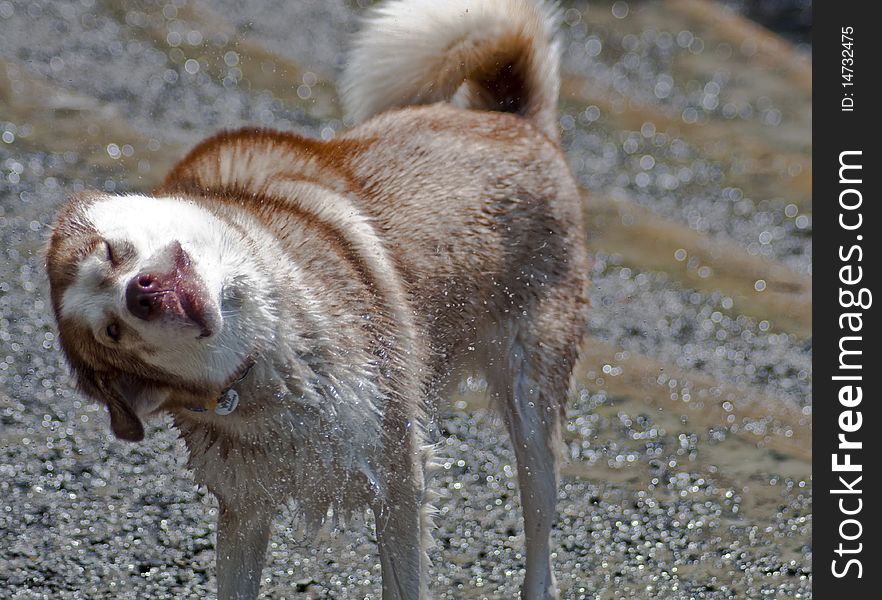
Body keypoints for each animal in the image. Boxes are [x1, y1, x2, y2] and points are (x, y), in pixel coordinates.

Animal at [46, 2, 584, 596]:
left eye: (113, 252)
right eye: (112, 332)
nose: (138, 294)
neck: (268, 360)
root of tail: (515, 121)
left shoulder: (398, 478)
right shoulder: (245, 508)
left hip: (531, 408)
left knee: (540, 535)